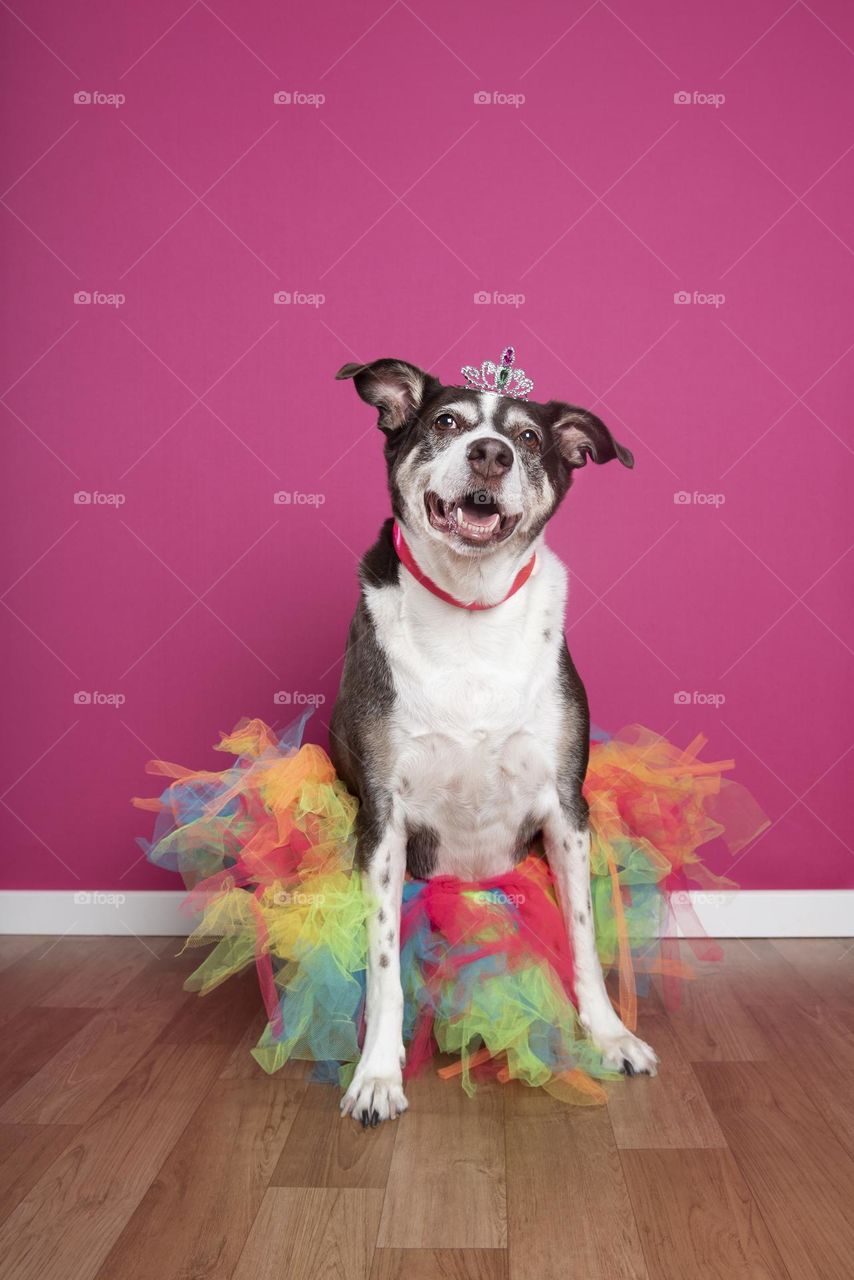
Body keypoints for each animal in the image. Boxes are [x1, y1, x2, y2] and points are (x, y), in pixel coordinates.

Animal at [330, 355, 660, 1126]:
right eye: (446, 422)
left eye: (530, 439)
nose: (490, 453)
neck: (470, 612)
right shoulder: (382, 820)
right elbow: (385, 963)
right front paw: (377, 1075)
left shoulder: (568, 809)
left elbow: (581, 935)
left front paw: (609, 1035)